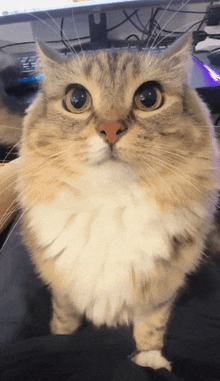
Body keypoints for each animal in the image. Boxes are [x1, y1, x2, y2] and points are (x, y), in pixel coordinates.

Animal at [16, 34, 219, 370]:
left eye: (149, 97)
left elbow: (150, 328)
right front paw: (60, 339)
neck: (110, 204)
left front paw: (149, 361)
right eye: (76, 99)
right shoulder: (62, 288)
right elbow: (64, 318)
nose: (110, 130)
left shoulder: (161, 290)